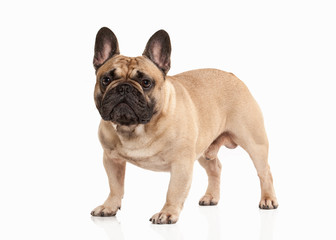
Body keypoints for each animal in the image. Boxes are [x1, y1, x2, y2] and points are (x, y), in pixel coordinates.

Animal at [90, 27, 278, 224]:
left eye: (146, 82)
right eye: (106, 79)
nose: (124, 88)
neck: (136, 127)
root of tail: (233, 76)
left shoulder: (181, 164)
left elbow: (174, 190)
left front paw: (167, 213)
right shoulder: (112, 159)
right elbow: (115, 186)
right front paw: (109, 206)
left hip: (254, 142)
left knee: (265, 171)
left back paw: (268, 199)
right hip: (204, 148)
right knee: (215, 168)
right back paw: (211, 197)